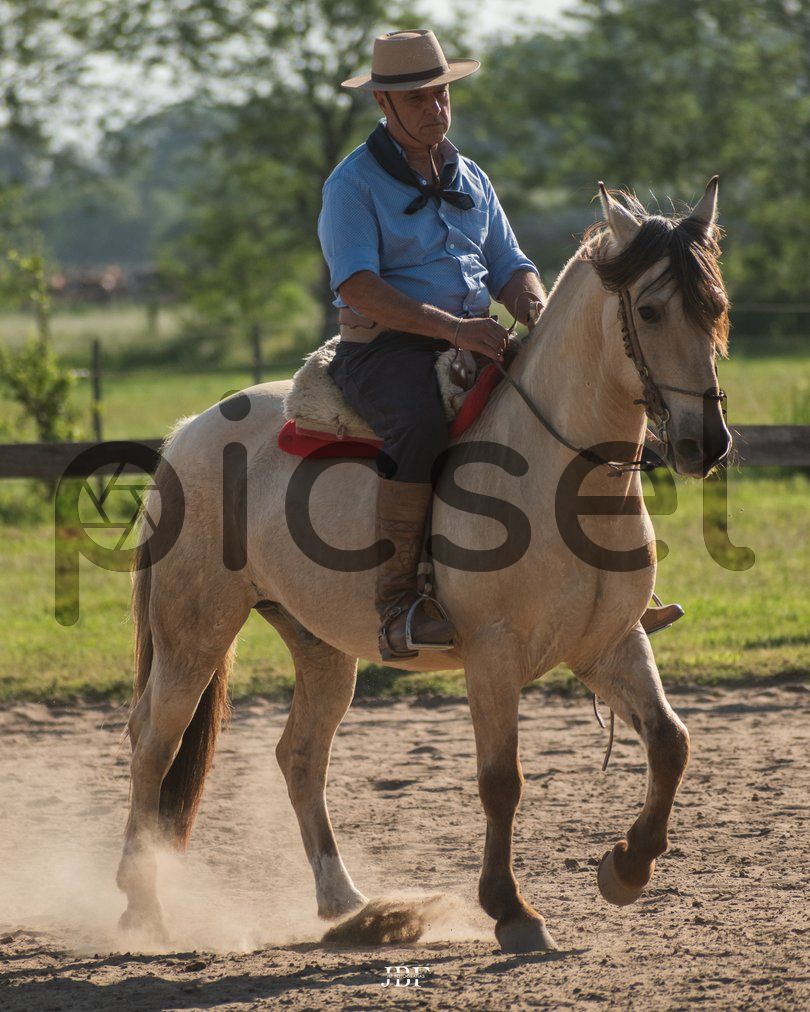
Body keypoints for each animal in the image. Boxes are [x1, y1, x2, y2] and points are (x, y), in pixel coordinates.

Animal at [117, 179, 731, 953]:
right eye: (649, 310)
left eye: (715, 305)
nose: (707, 442)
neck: (557, 466)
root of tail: (186, 434)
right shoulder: (494, 657)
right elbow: (502, 780)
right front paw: (512, 911)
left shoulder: (610, 645)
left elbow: (671, 743)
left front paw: (625, 868)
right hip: (193, 637)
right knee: (153, 744)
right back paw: (141, 907)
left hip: (319, 647)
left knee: (299, 755)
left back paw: (343, 901)